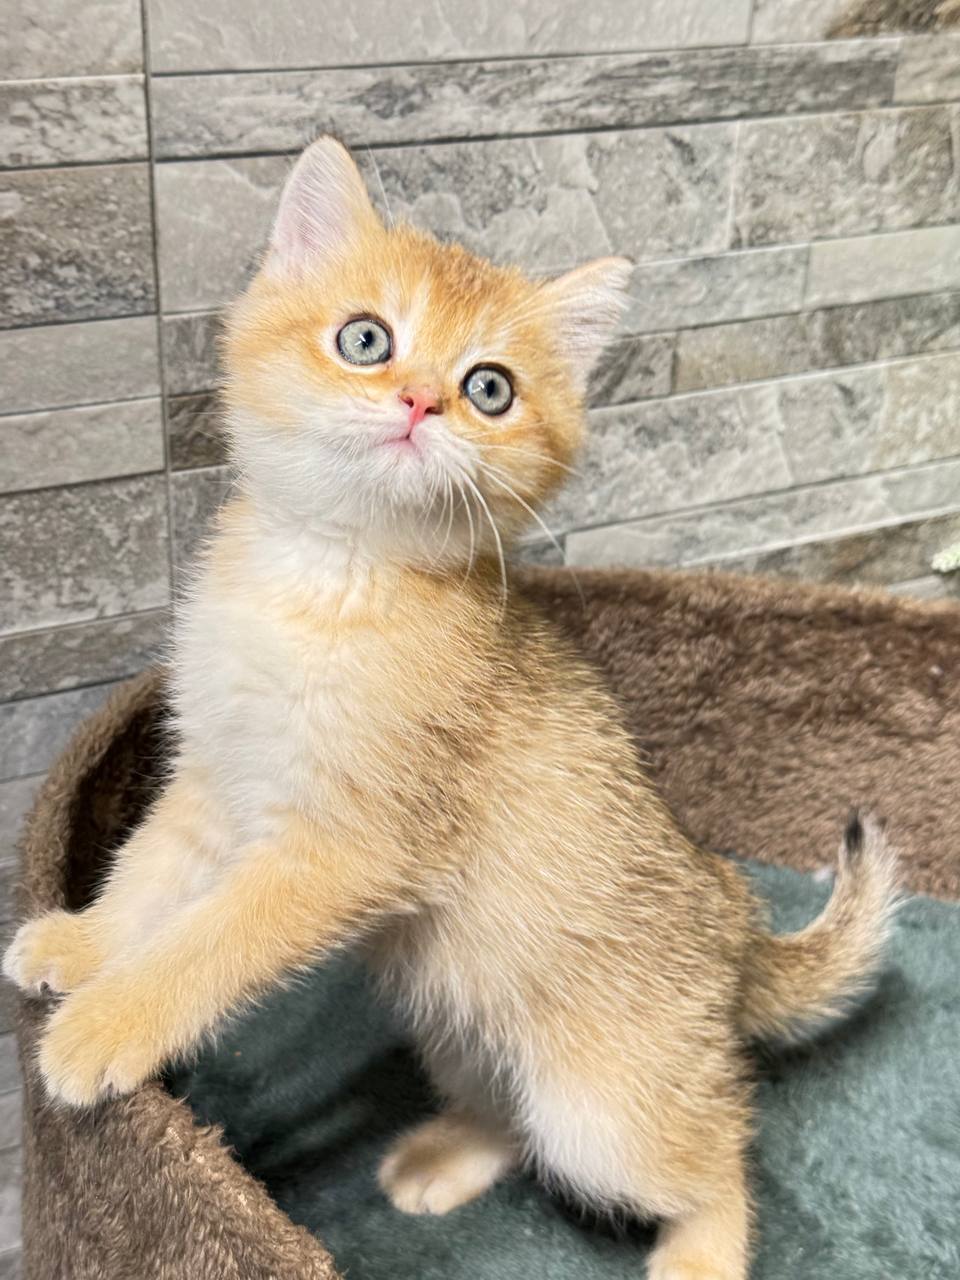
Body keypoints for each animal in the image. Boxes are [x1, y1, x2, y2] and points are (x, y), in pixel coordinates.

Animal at [4, 137, 899, 1280]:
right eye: (366, 338)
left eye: (490, 388)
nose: (423, 402)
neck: (326, 578)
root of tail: (736, 921)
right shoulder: (212, 781)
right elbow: (150, 875)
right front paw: (82, 944)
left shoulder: (338, 852)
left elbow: (208, 944)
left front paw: (101, 1024)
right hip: (458, 1016)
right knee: (505, 1109)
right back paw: (446, 1156)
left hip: (605, 1107)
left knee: (721, 1151)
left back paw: (698, 1254)